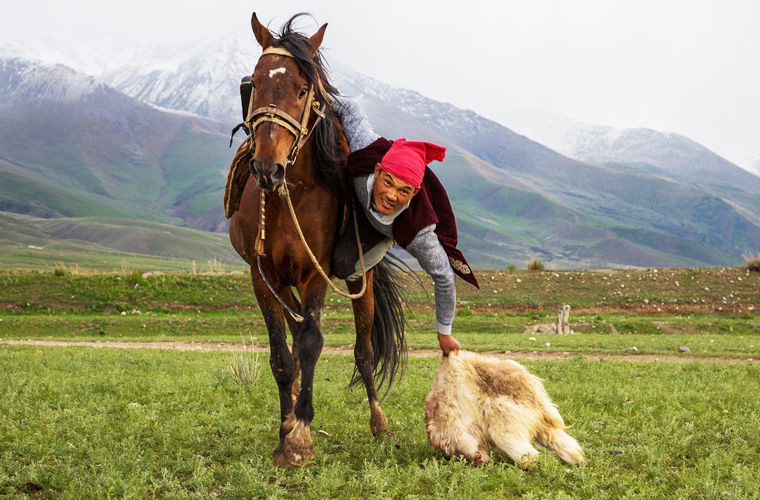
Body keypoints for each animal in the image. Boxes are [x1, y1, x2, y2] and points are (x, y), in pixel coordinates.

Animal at [229, 13, 406, 466]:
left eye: (303, 89)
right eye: (253, 83)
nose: (267, 168)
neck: (293, 192)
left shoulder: (315, 272)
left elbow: (311, 343)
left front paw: (300, 438)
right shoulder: (263, 276)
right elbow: (281, 356)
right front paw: (285, 428)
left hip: (361, 280)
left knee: (364, 351)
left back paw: (380, 424)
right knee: (293, 339)